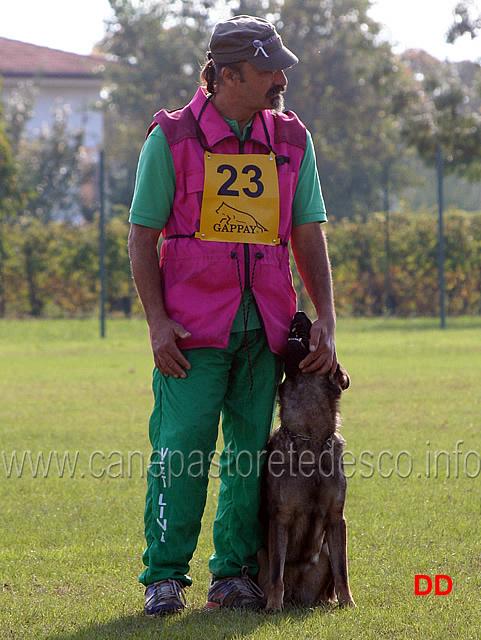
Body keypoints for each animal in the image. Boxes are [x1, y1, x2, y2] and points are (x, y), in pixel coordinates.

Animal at [256, 312, 354, 612]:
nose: (300, 313)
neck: (310, 438)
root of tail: (298, 595)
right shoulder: (280, 518)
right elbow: (277, 573)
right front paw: (274, 605)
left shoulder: (336, 519)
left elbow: (343, 571)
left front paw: (348, 602)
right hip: (260, 555)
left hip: (325, 551)